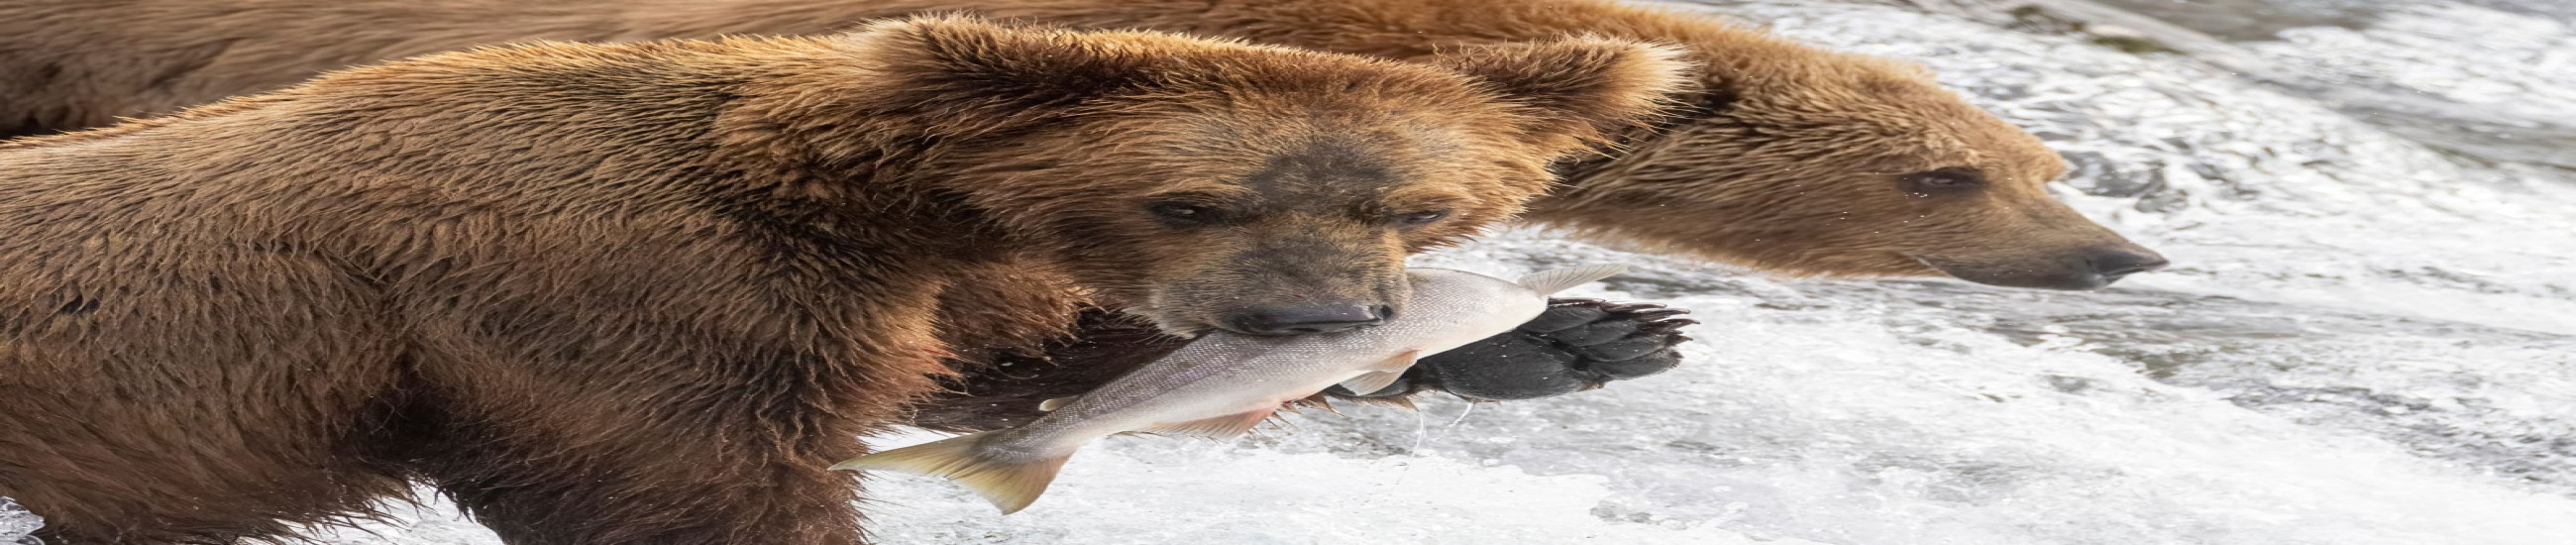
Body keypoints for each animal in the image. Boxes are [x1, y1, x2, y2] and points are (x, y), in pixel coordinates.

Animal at [0, 17, 1689, 545]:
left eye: (1419, 201)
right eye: (1190, 192)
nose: (1314, 321)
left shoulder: (930, 291)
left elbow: (1014, 353)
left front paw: (1592, 329)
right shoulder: (605, 306)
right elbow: (685, 484)